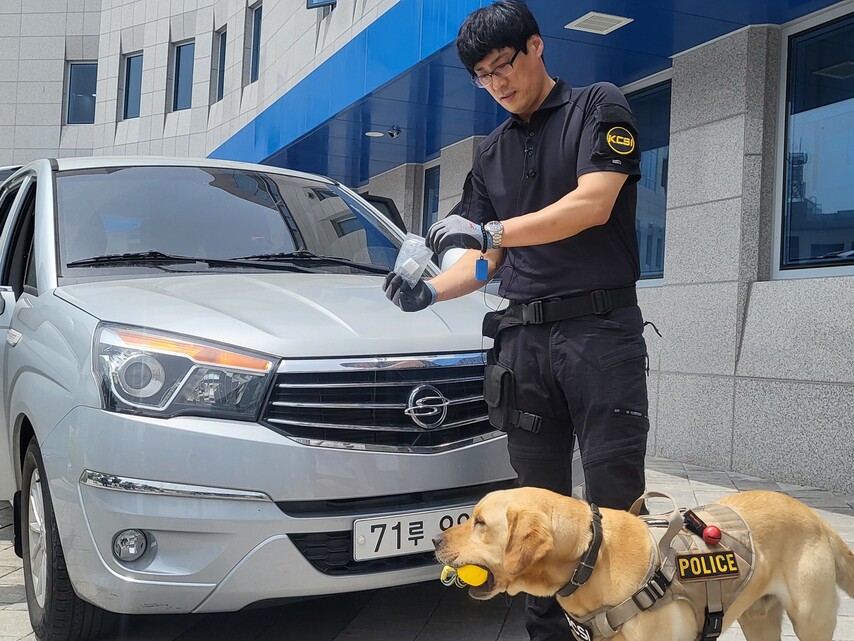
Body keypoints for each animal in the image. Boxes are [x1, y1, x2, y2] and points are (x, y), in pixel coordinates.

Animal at [438, 484, 852, 640]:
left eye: (479, 523)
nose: (436, 539)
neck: (592, 559)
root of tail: (817, 518)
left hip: (810, 619)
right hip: (759, 618)